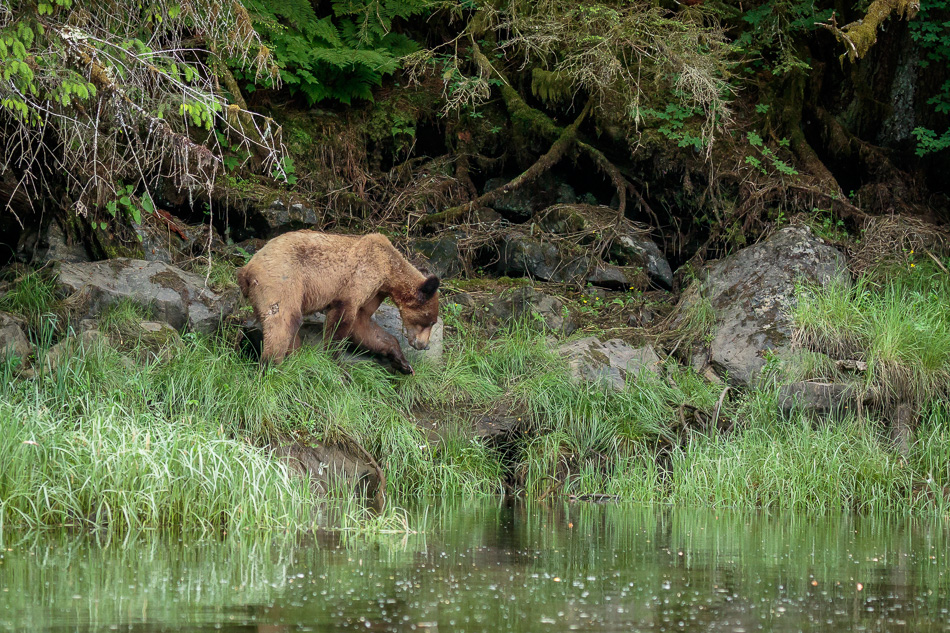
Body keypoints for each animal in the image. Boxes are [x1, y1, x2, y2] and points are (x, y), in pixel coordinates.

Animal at [237, 230, 440, 374]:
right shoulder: (360, 278)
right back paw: (272, 365)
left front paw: (403, 363)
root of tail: (247, 269)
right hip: (284, 279)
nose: (425, 345)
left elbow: (364, 325)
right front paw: (336, 363)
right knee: (284, 321)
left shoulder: (375, 292)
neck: (388, 272)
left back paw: (296, 357)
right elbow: (342, 319)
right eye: (430, 321)